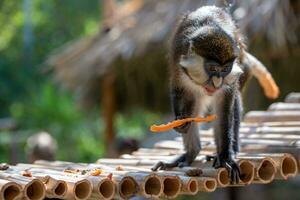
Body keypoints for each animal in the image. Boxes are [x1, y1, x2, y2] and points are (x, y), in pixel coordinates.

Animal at [151, 5, 280, 183]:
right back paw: (190, 153)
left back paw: (228, 151)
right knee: (193, 104)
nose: (218, 82)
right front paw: (180, 120)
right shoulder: (178, 62)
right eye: (212, 68)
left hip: (243, 69)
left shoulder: (231, 79)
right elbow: (177, 91)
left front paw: (226, 158)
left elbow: (224, 112)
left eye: (225, 69)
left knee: (235, 105)